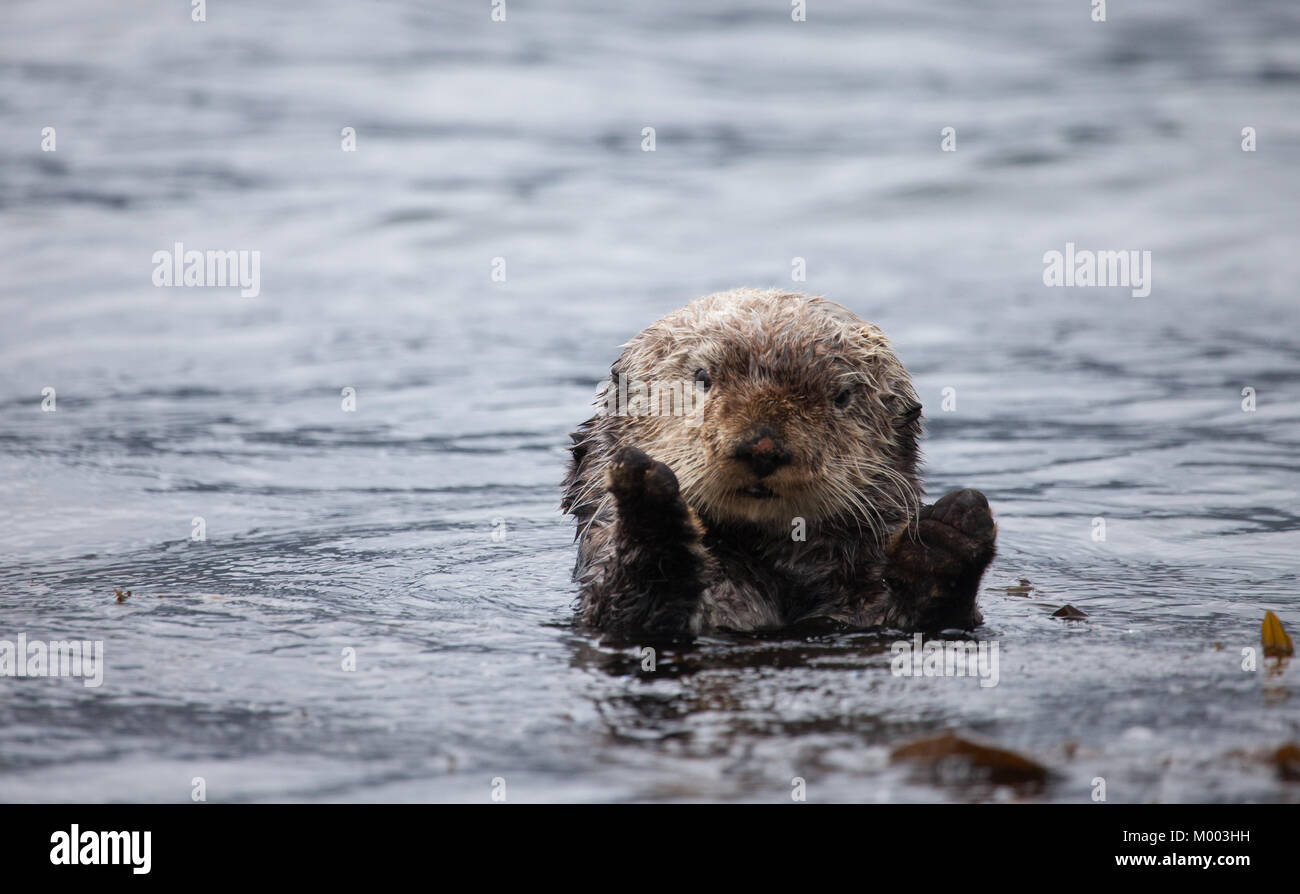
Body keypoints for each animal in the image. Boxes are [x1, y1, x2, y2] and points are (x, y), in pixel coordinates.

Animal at [559, 289, 993, 639]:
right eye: (702, 377)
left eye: (841, 396)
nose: (763, 448)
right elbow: (631, 609)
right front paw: (646, 497)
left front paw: (949, 531)